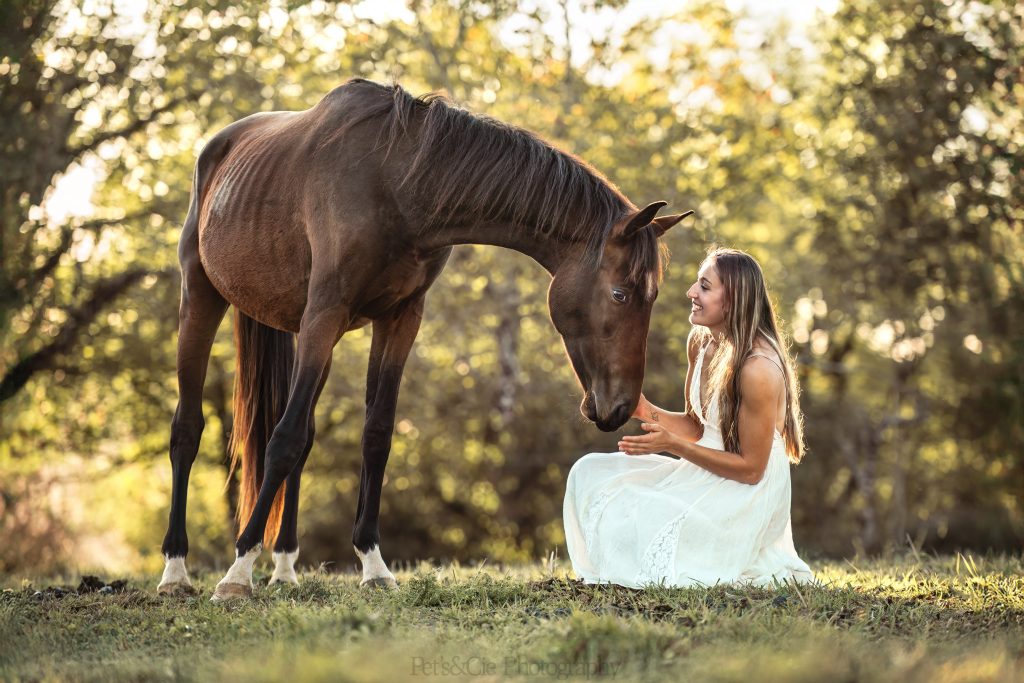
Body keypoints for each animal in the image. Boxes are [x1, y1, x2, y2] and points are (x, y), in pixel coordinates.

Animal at [155, 78, 693, 601]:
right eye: (621, 294)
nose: (620, 407)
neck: (397, 184)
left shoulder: (399, 319)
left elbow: (374, 435)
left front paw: (373, 565)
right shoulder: (326, 311)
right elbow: (281, 440)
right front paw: (237, 571)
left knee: (304, 438)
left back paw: (285, 569)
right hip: (204, 298)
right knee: (189, 430)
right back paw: (176, 570)